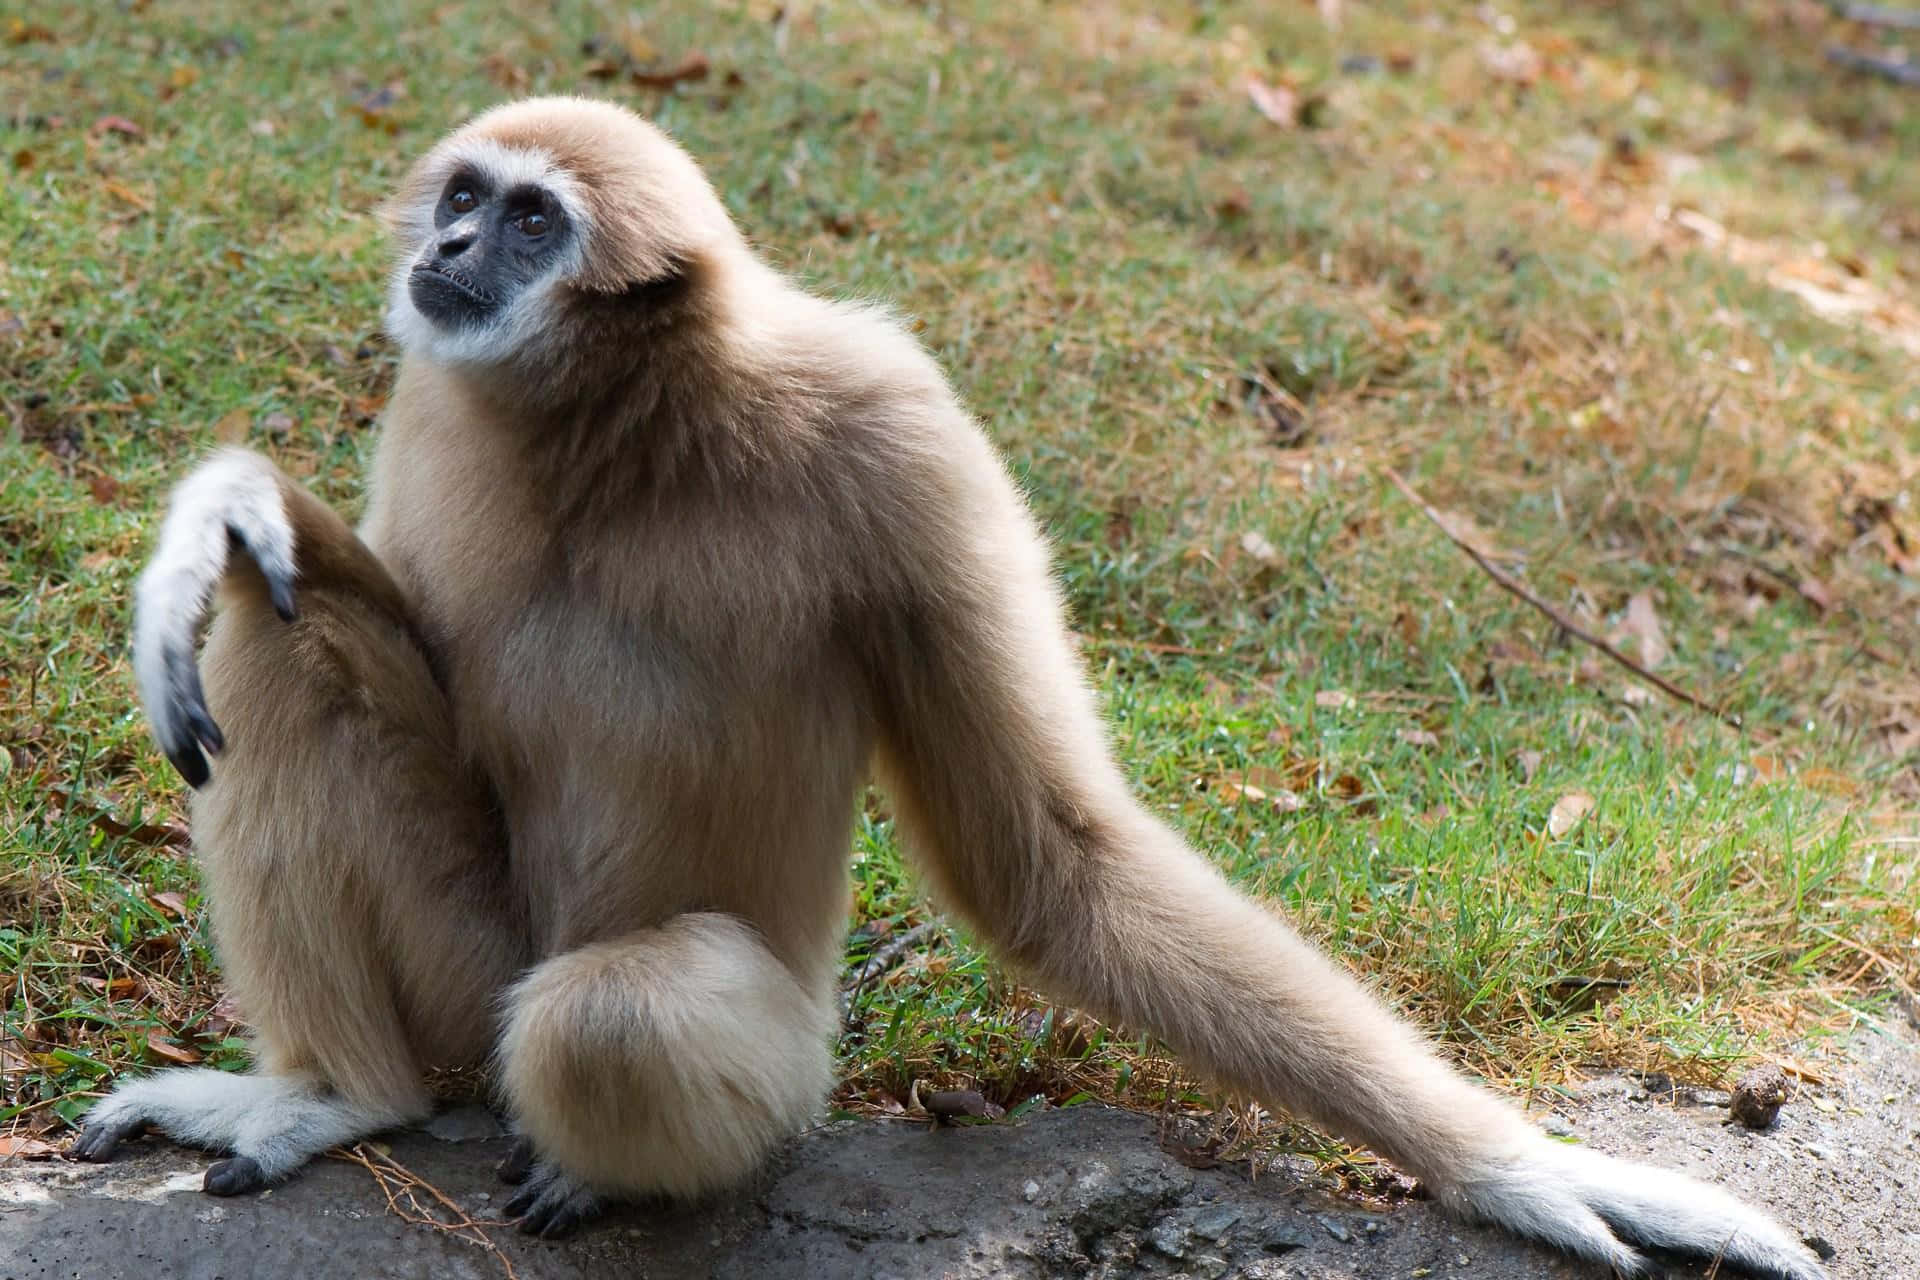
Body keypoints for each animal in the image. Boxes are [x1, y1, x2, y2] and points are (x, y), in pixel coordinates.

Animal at [69, 97, 1824, 1280]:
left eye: (529, 222)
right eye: (462, 197)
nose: (440, 247)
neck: (625, 435)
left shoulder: (901, 432)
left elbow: (1049, 858)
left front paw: (1526, 1170)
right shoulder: (440, 397)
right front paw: (215, 506)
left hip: (763, 1067)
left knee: (604, 1020)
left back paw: (561, 1159)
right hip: (462, 972)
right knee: (272, 629)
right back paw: (340, 1092)